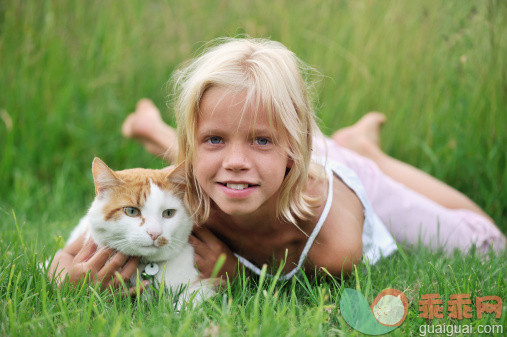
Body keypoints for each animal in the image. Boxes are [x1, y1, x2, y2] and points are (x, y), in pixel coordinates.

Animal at [66, 156, 214, 306]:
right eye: (131, 211)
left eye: (168, 213)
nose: (155, 233)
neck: (147, 266)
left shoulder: (206, 284)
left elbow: (188, 302)